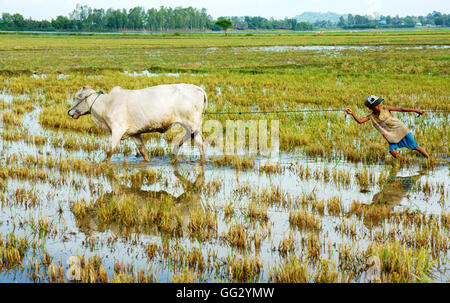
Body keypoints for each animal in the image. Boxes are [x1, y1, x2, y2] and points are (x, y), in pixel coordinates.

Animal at [67, 84, 208, 163]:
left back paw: (201, 161)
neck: (106, 105)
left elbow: (109, 151)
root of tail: (196, 88)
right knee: (190, 137)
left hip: (192, 123)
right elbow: (143, 151)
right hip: (190, 125)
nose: (69, 111)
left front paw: (103, 164)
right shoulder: (135, 133)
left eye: (78, 97)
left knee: (200, 143)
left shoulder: (117, 130)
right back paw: (175, 151)